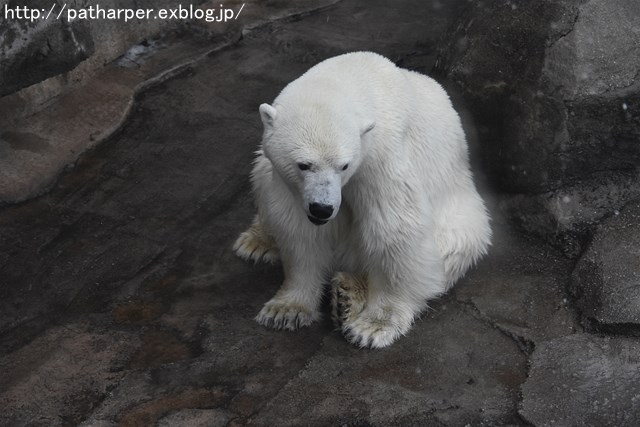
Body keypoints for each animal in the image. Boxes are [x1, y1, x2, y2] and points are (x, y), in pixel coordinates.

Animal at [235, 51, 490, 350]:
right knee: (261, 175)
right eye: (303, 165)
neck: (356, 75)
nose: (322, 209)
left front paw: (374, 325)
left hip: (461, 215)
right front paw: (285, 311)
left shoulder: (381, 159)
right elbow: (299, 228)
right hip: (267, 173)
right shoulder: (294, 186)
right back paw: (257, 242)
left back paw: (348, 294)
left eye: (344, 166)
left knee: (453, 246)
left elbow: (394, 229)